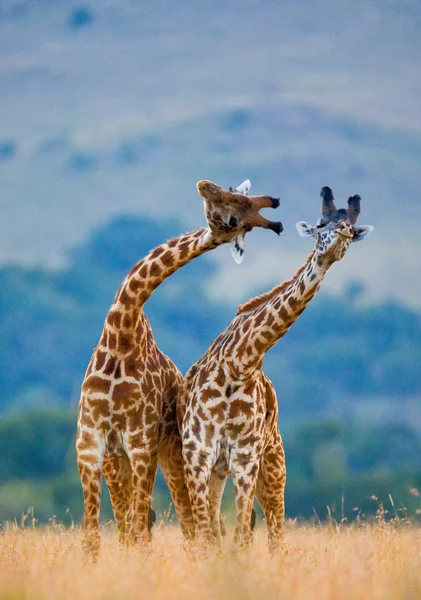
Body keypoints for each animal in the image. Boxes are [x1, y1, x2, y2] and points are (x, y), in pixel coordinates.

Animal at [75, 179, 282, 556]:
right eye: (232, 204)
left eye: (239, 214)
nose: (273, 208)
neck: (121, 337)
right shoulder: (90, 443)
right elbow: (93, 538)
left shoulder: (141, 443)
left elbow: (140, 531)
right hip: (121, 461)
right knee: (133, 523)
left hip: (172, 454)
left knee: (187, 524)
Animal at [177, 185, 370, 552]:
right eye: (321, 225)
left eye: (352, 231)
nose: (340, 235)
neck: (239, 362)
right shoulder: (197, 453)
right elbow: (209, 535)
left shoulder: (246, 458)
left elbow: (241, 536)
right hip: (220, 470)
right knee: (219, 528)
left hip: (273, 463)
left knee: (275, 532)